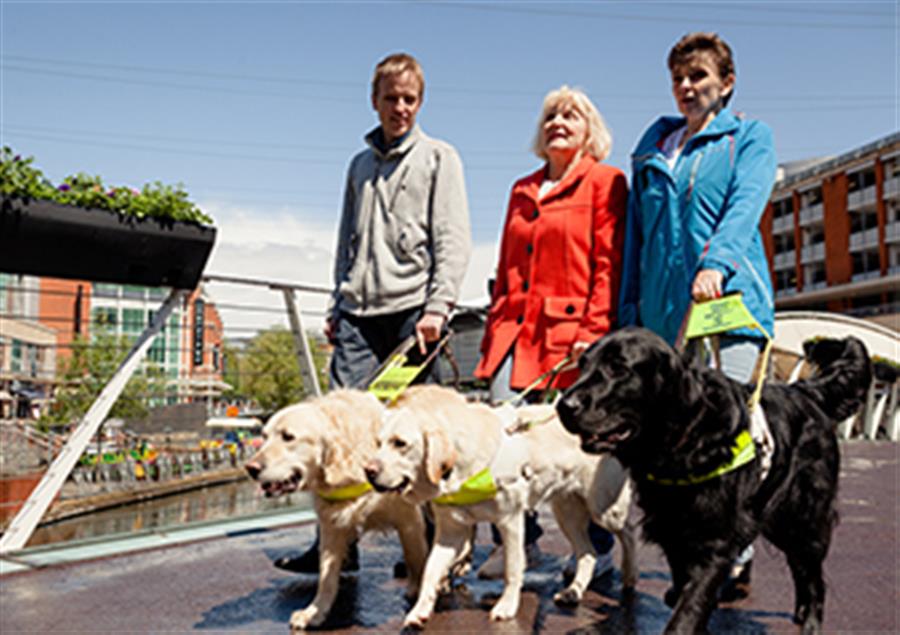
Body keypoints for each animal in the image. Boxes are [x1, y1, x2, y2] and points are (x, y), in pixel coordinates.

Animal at [243, 390, 428, 632]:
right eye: (264, 437)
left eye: (288, 437)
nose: (251, 468)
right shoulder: (331, 525)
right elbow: (327, 577)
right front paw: (315, 612)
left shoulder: (409, 520)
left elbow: (417, 559)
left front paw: (418, 596)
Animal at [362, 386, 636, 628]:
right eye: (378, 443)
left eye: (400, 443)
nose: (368, 471)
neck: (462, 468)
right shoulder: (451, 532)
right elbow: (431, 568)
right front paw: (420, 609)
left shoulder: (510, 520)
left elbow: (512, 568)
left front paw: (507, 605)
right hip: (567, 513)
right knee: (588, 553)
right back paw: (573, 592)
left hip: (602, 507)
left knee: (628, 533)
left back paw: (630, 577)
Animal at [556, 328, 872, 635]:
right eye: (583, 365)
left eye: (619, 368)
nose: (564, 405)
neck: (685, 441)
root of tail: (804, 390)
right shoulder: (673, 530)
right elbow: (684, 590)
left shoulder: (716, 542)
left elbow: (688, 610)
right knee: (801, 569)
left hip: (803, 517)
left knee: (813, 576)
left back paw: (811, 621)